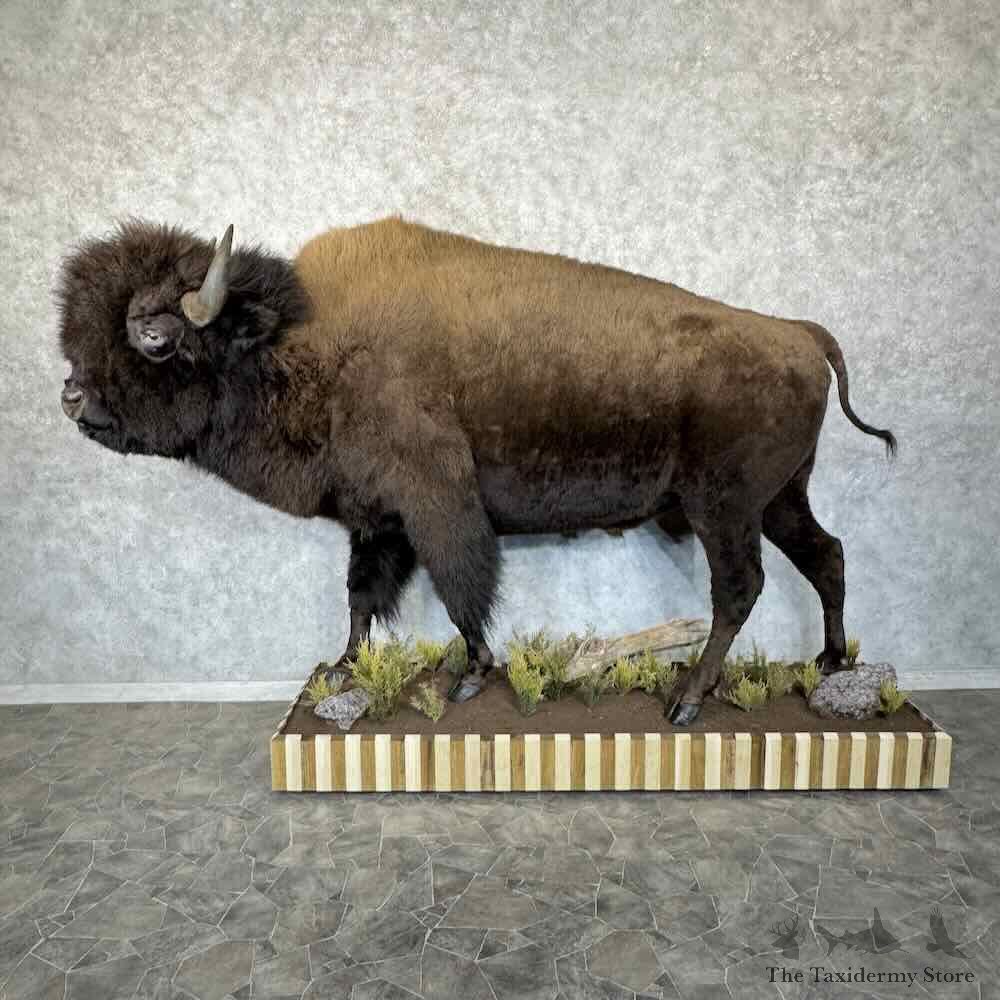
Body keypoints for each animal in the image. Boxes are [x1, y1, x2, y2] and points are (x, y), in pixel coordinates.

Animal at [57, 217, 895, 724]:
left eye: (155, 336)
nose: (71, 396)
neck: (296, 342)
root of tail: (797, 332)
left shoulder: (436, 503)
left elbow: (462, 585)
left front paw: (470, 674)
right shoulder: (376, 521)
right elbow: (362, 597)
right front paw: (341, 667)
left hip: (726, 508)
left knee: (741, 588)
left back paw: (688, 701)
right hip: (780, 499)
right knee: (828, 555)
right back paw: (827, 661)